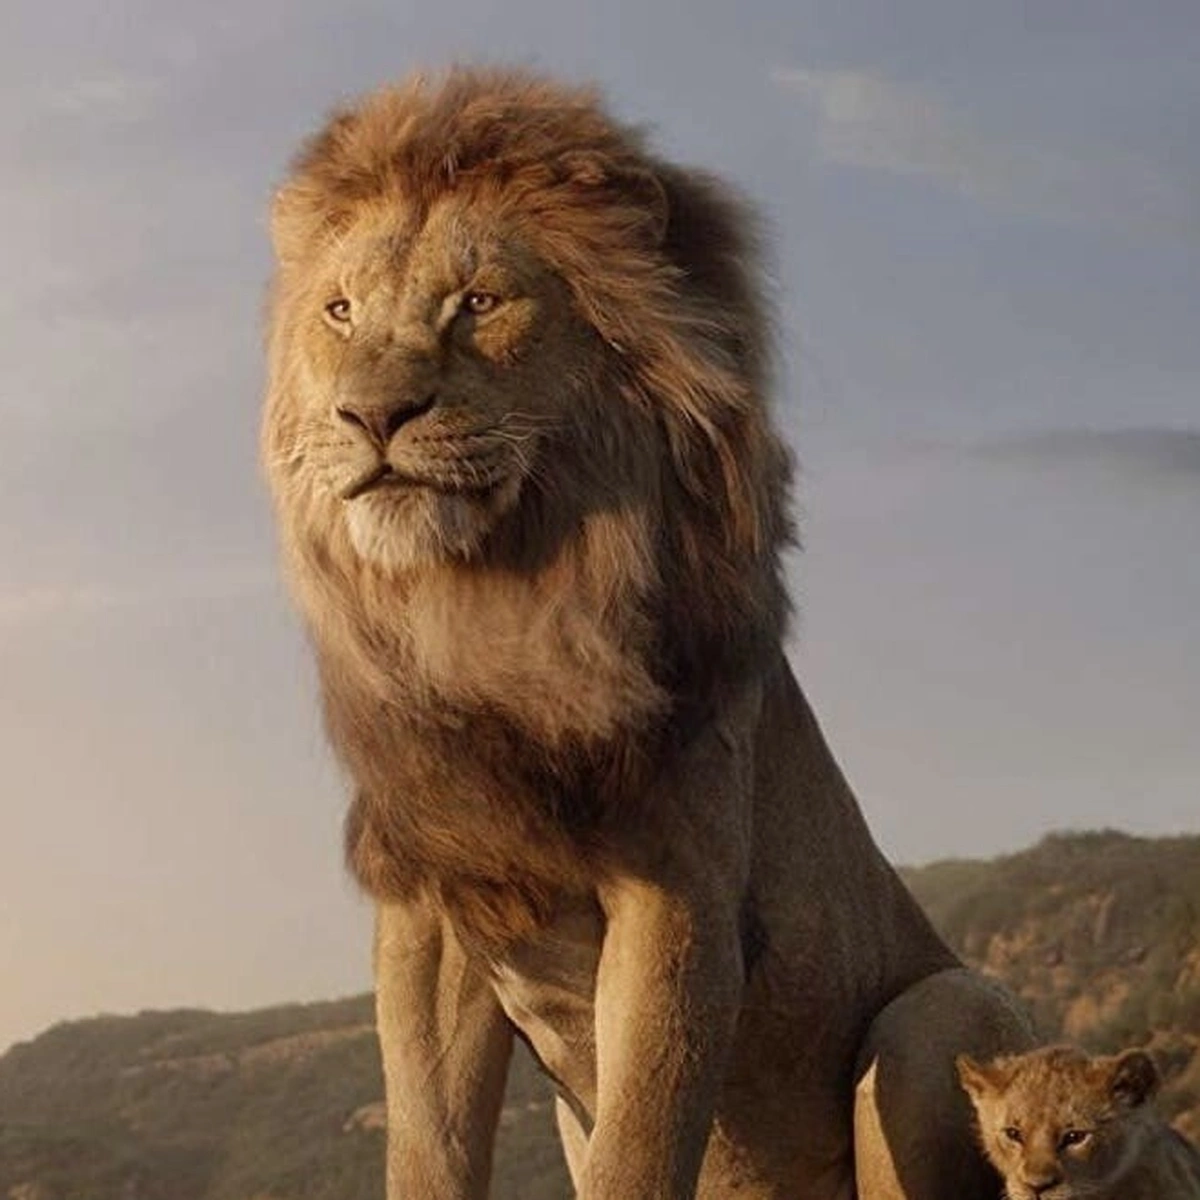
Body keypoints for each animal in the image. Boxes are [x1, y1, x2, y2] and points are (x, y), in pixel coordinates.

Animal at [262, 66, 1035, 1199]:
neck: (489, 610)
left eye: (479, 302)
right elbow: (427, 1142)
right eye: (341, 311)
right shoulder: (429, 916)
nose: (372, 416)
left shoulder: (679, 898)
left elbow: (639, 1141)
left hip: (938, 1013)